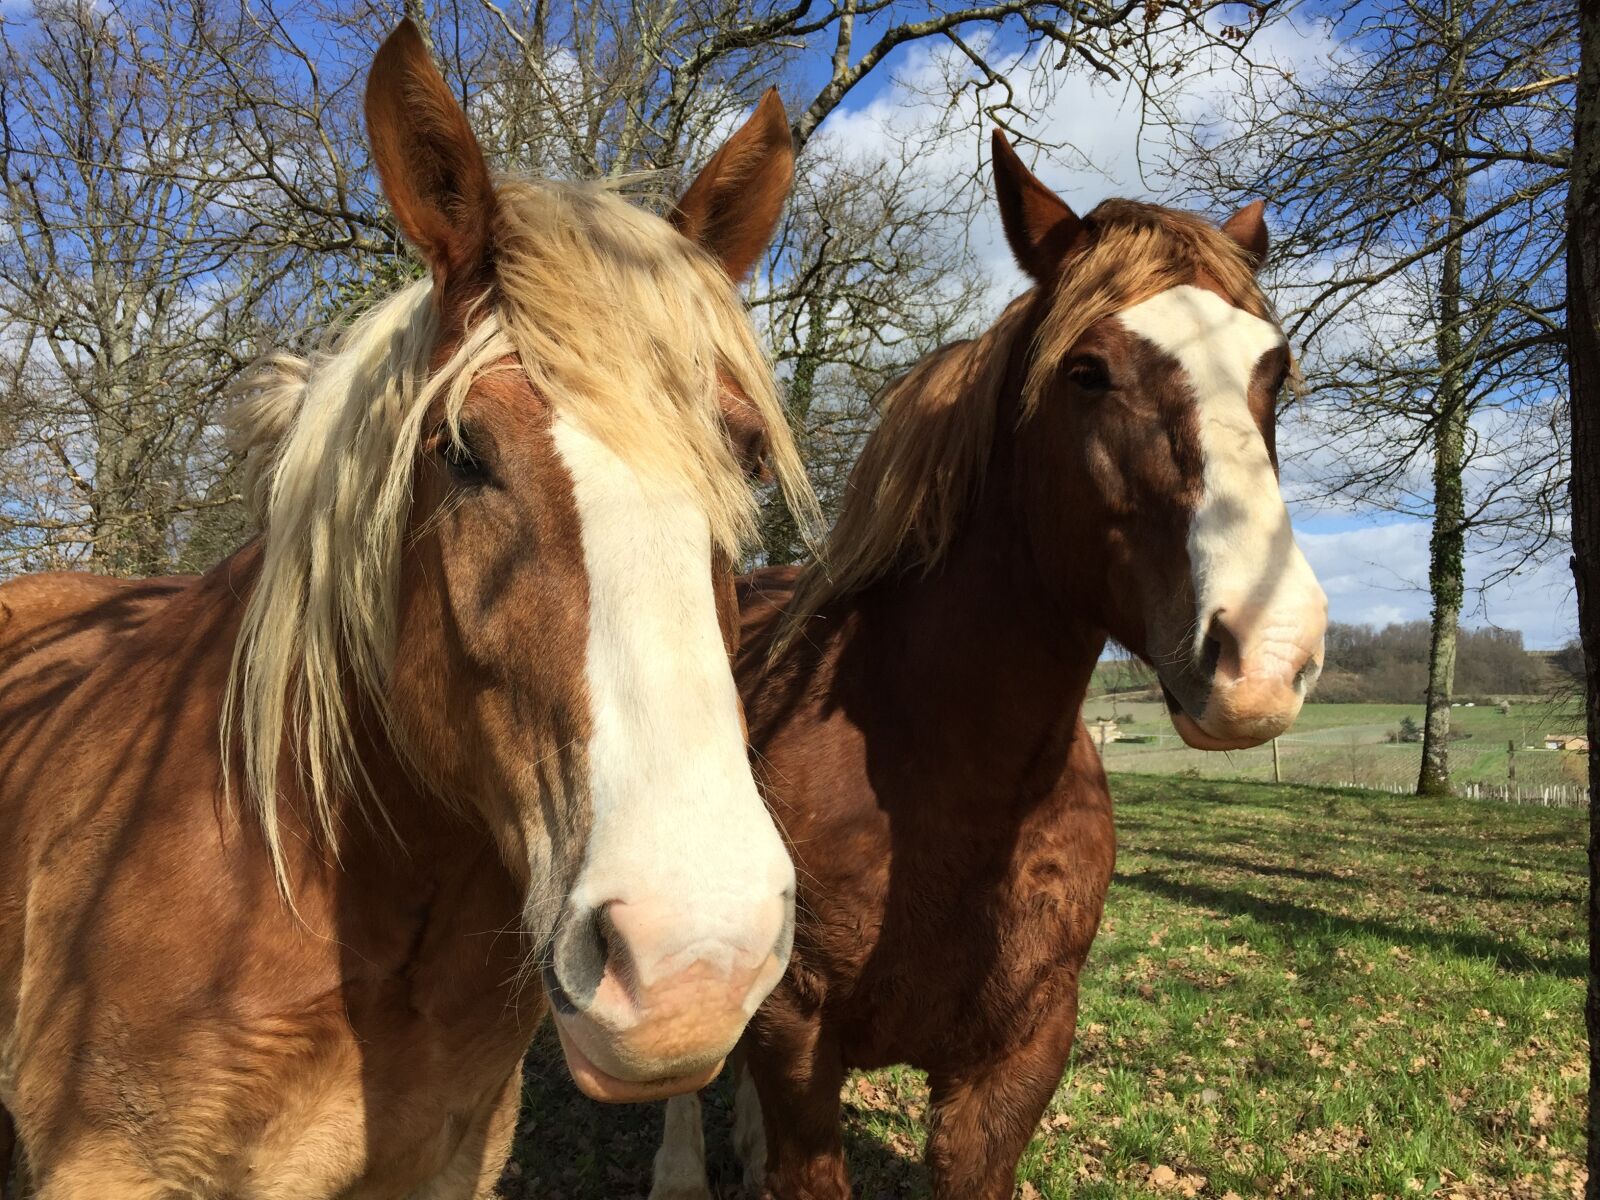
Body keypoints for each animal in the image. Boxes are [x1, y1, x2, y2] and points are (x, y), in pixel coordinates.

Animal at [648, 131, 1328, 1200]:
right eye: (1087, 371)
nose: (1268, 652)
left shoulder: (1014, 1065)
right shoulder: (802, 1051)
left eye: (1275, 368)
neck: (951, 793)